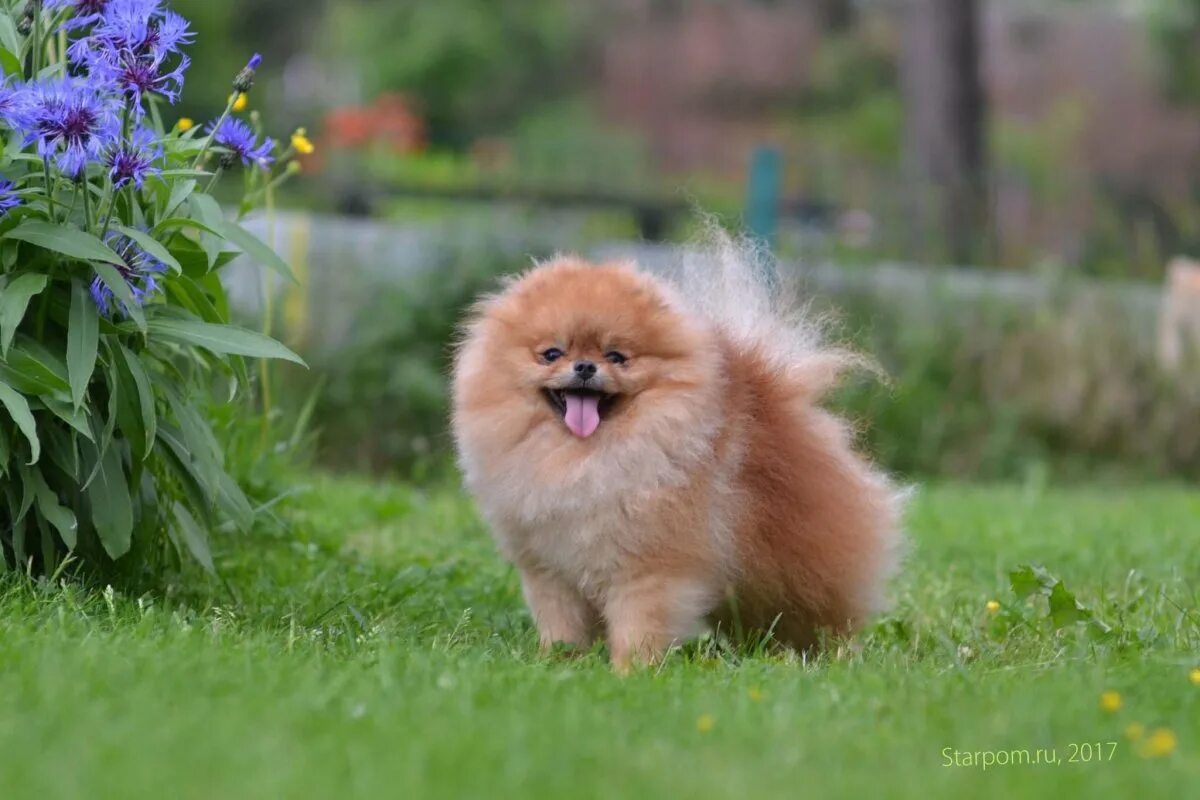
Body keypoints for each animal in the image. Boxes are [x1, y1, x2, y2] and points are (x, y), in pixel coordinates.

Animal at [451, 237, 902, 671]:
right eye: (551, 354)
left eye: (616, 356)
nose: (584, 366)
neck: (584, 458)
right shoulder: (549, 572)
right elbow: (561, 626)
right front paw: (556, 662)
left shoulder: (649, 569)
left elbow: (639, 626)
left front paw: (629, 672)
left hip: (801, 576)